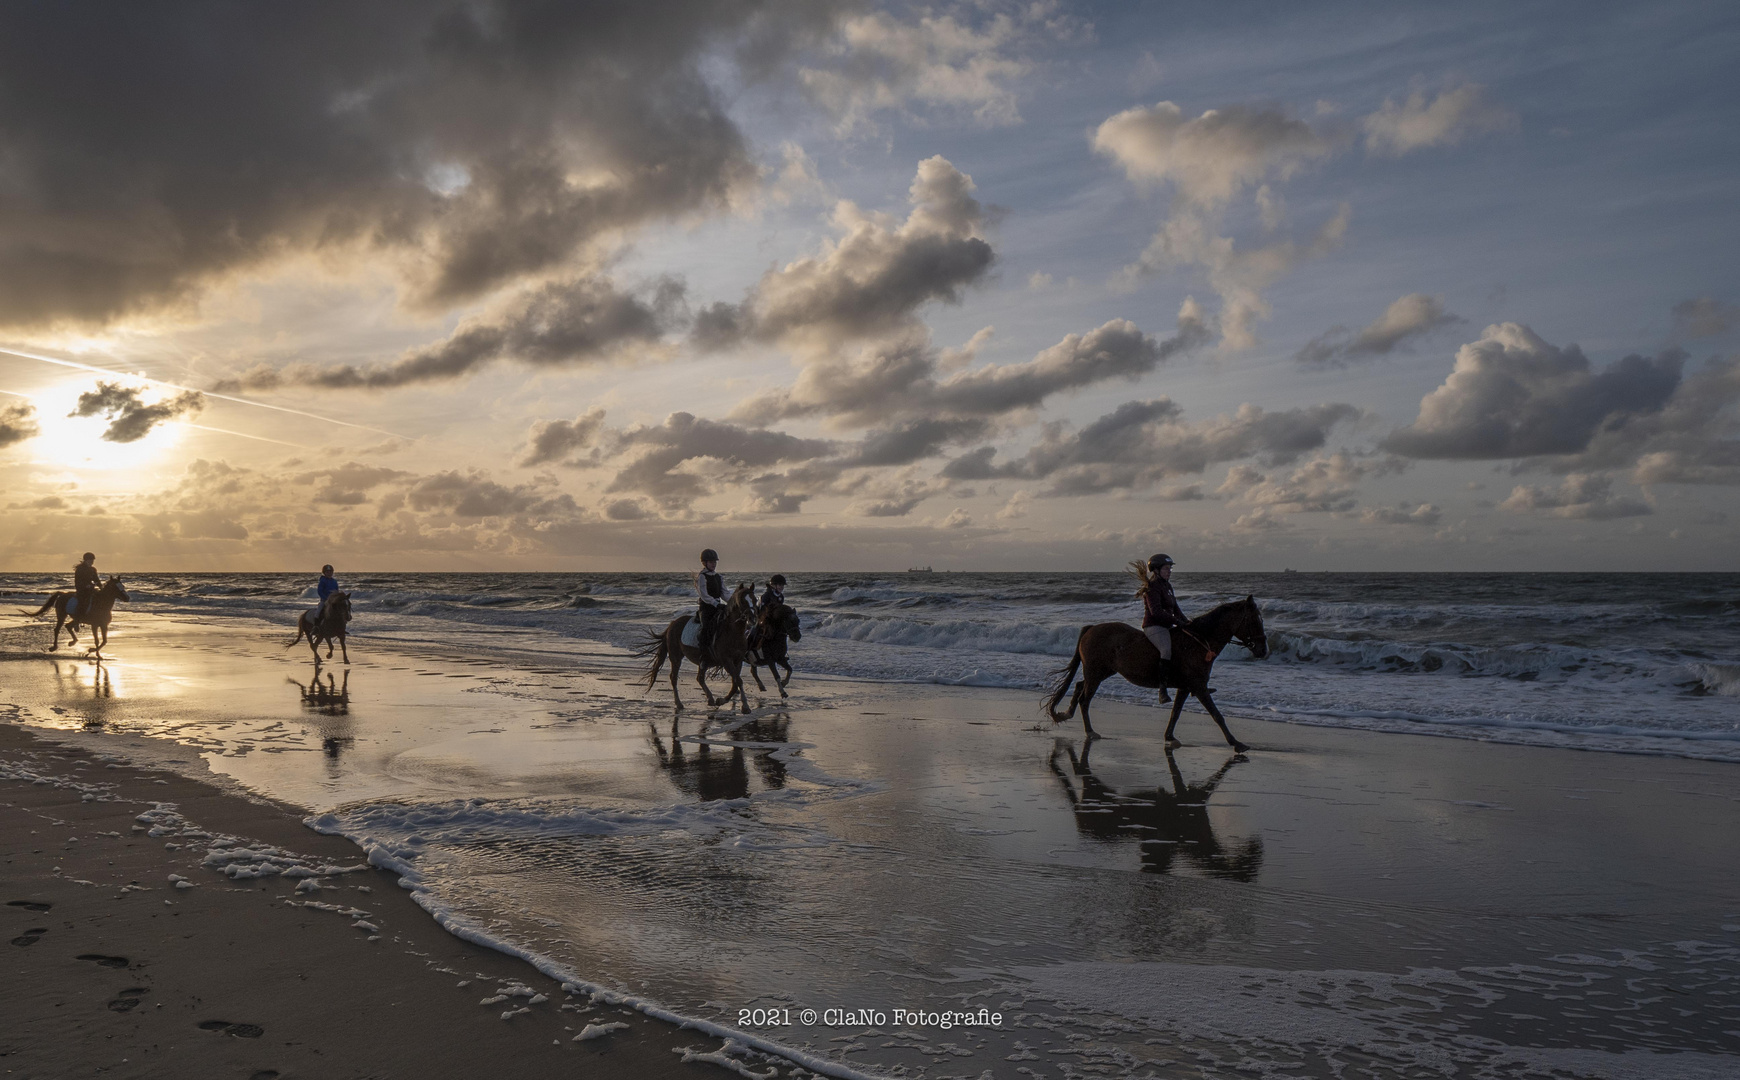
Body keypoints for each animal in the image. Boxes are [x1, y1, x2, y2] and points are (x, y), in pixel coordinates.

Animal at [636, 584, 751, 713]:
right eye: (743, 601)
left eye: (754, 599)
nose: (753, 617)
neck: (732, 632)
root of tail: (672, 624)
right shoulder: (726, 661)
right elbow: (738, 680)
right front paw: (745, 706)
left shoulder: (738, 661)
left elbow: (736, 682)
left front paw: (722, 700)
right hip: (676, 657)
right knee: (674, 678)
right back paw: (679, 703)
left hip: (703, 661)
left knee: (699, 678)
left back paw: (710, 699)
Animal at [1037, 591, 1273, 751]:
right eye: (1254, 620)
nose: (1263, 651)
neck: (1199, 642)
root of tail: (1091, 628)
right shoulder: (1198, 687)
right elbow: (1217, 715)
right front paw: (1237, 743)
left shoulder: (1186, 688)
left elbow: (1176, 713)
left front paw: (1169, 736)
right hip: (1096, 673)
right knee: (1084, 699)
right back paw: (1090, 731)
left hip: (1102, 672)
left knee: (1079, 687)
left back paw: (1065, 714)